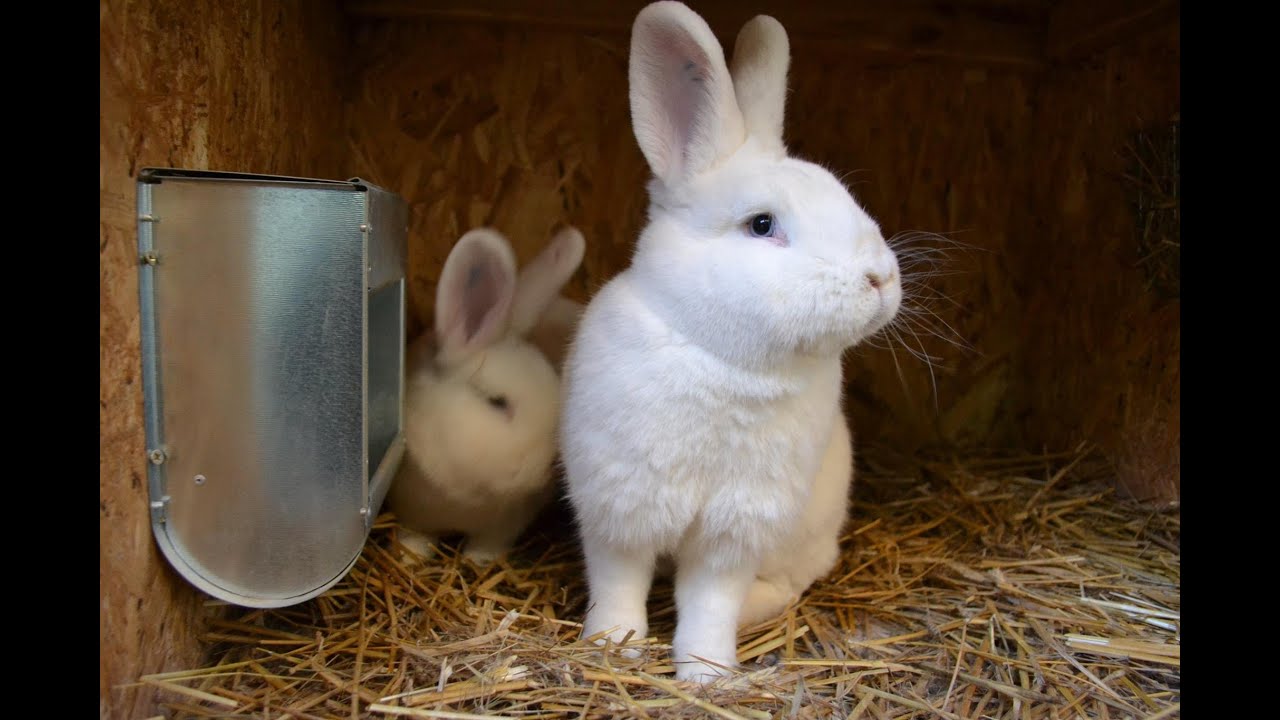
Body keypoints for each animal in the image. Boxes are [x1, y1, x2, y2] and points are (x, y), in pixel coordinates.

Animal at [386, 226, 586, 563]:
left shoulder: (512, 518)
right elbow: (415, 536)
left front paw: (477, 559)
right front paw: (409, 556)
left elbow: (491, 541)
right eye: (497, 402)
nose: (551, 464)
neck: (463, 497)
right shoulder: (412, 511)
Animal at [558, 2, 901, 681]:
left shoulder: (737, 527)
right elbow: (618, 580)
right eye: (761, 225)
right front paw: (612, 643)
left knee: (787, 586)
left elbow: (711, 600)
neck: (726, 364)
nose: (880, 278)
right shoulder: (619, 506)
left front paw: (707, 671)